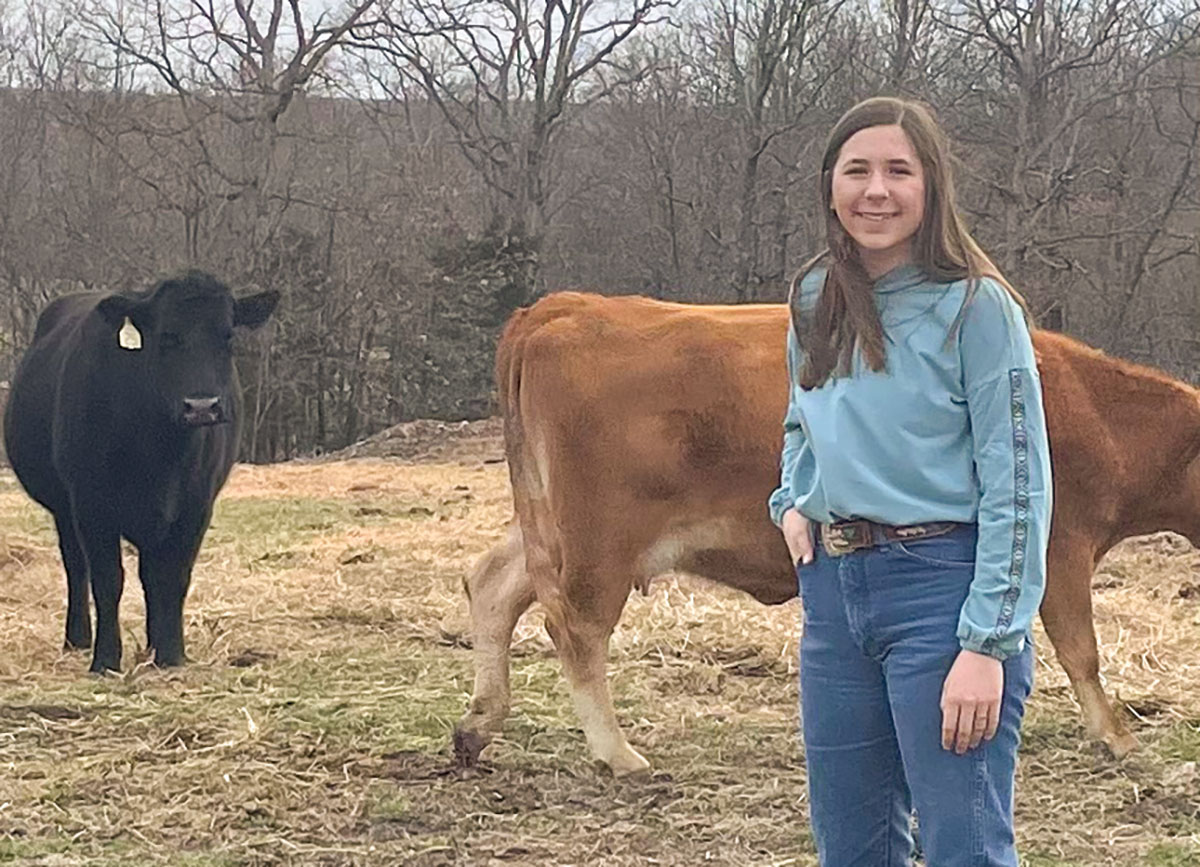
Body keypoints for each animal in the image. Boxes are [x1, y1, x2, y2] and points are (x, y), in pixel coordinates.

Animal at [4, 268, 278, 667]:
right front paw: (105, 660)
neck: (161, 452)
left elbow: (171, 577)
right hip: (63, 508)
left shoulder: (196, 505)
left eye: (227, 336)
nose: (201, 406)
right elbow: (107, 580)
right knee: (76, 566)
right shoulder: (91, 504)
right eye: (166, 336)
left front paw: (171, 654)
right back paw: (77, 639)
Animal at [451, 290, 1200, 768]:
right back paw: (616, 754)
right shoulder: (1058, 546)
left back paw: (479, 723)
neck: (1095, 407)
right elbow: (1081, 650)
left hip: (548, 525)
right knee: (575, 628)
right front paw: (1117, 737)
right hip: (598, 539)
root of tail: (564, 307)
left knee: (493, 583)